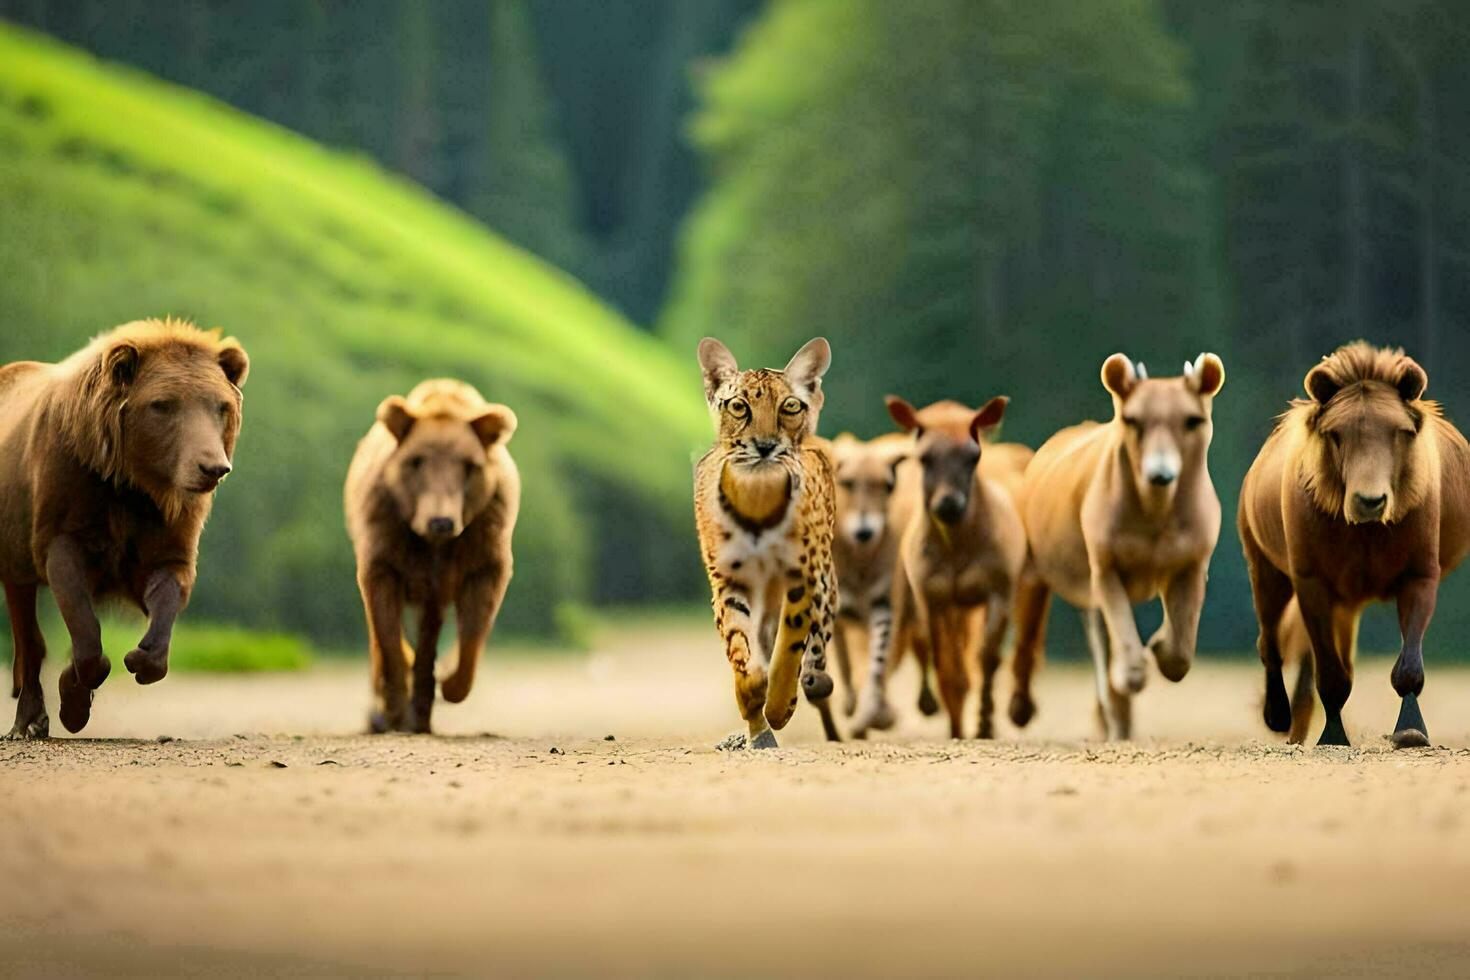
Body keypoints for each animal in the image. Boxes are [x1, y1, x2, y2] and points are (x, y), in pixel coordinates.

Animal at [0, 320, 249, 734]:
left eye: (221, 406)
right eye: (163, 404)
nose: (212, 467)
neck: (131, 481)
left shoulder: (166, 523)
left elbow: (168, 587)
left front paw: (141, 658)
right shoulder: (68, 507)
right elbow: (74, 597)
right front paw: (73, 698)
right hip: (13, 539)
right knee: (24, 619)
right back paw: (30, 719)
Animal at [345, 379, 523, 731]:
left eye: (469, 465)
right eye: (416, 460)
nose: (440, 520)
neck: (434, 544)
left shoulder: (480, 543)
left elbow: (477, 619)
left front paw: (451, 683)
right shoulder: (387, 537)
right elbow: (385, 623)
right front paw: (394, 703)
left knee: (431, 624)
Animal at [696, 340, 840, 746]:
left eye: (789, 406)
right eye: (738, 406)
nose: (764, 446)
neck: (758, 494)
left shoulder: (803, 576)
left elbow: (790, 646)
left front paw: (778, 706)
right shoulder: (728, 579)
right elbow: (741, 648)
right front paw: (753, 704)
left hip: (825, 579)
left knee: (816, 639)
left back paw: (813, 679)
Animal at [1017, 352, 1223, 734]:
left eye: (1192, 420)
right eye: (1132, 420)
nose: (1160, 474)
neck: (1154, 513)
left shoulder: (1192, 562)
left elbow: (1180, 650)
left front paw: (1160, 646)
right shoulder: (1103, 566)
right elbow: (1121, 640)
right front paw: (1128, 674)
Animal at [1240, 340, 1470, 746]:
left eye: (1400, 431)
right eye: (1336, 433)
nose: (1370, 501)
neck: (1365, 531)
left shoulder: (1419, 572)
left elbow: (1407, 666)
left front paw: (1410, 730)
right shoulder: (1311, 580)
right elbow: (1330, 675)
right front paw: (1332, 736)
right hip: (1264, 566)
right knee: (1270, 641)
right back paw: (1279, 716)